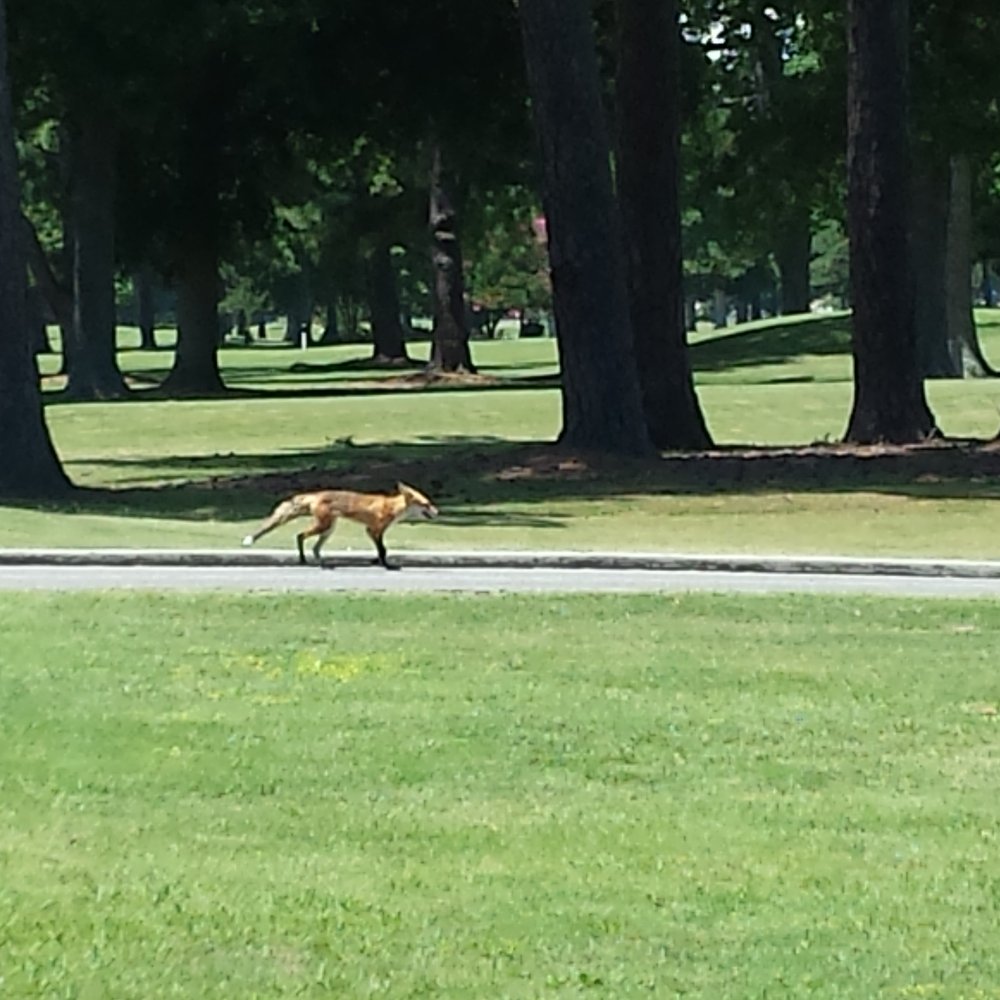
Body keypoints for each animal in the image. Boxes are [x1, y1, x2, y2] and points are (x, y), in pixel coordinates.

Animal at [241, 482, 439, 569]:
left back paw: (320, 561)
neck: (391, 506)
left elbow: (381, 549)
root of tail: (315, 495)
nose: (438, 512)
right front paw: (385, 564)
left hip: (329, 529)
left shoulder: (374, 531)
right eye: (426, 504)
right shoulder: (374, 529)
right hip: (323, 526)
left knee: (315, 547)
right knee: (300, 536)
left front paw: (376, 561)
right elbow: (383, 550)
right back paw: (304, 560)